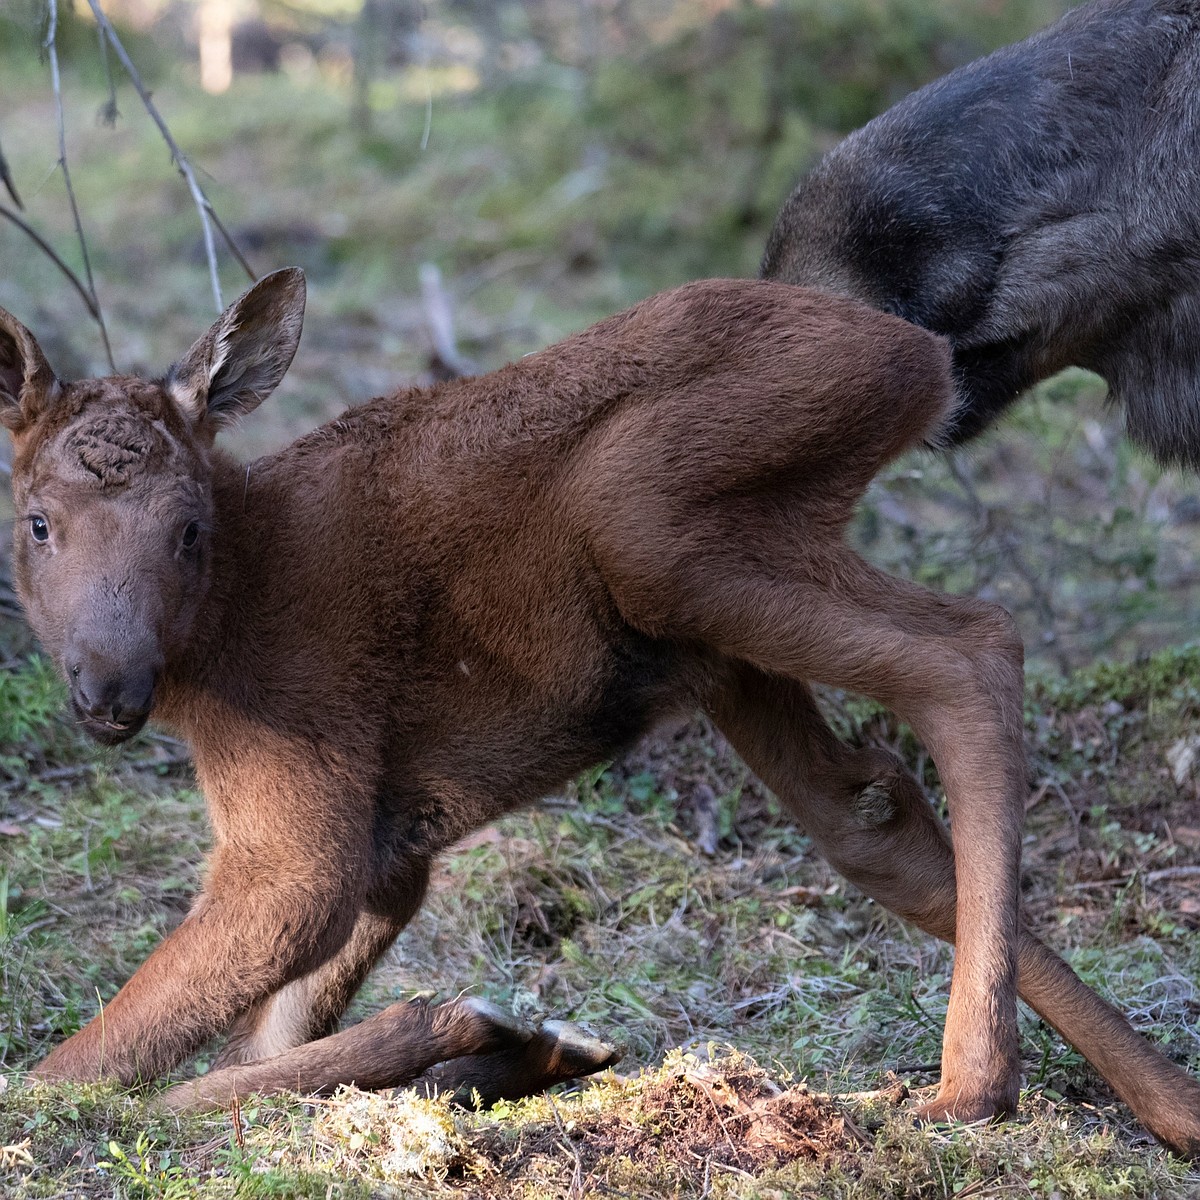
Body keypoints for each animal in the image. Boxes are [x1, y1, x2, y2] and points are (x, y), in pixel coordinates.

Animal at [2, 267, 1200, 1147]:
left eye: (187, 529)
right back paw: (1170, 1105)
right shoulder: (393, 851)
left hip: (651, 526)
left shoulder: (308, 828)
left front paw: (478, 1037)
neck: (218, 639)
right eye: (37, 521)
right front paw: (496, 1052)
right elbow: (241, 1057)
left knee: (972, 653)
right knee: (878, 816)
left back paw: (973, 1085)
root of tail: (923, 354)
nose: (108, 689)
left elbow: (70, 1077)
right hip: (716, 643)